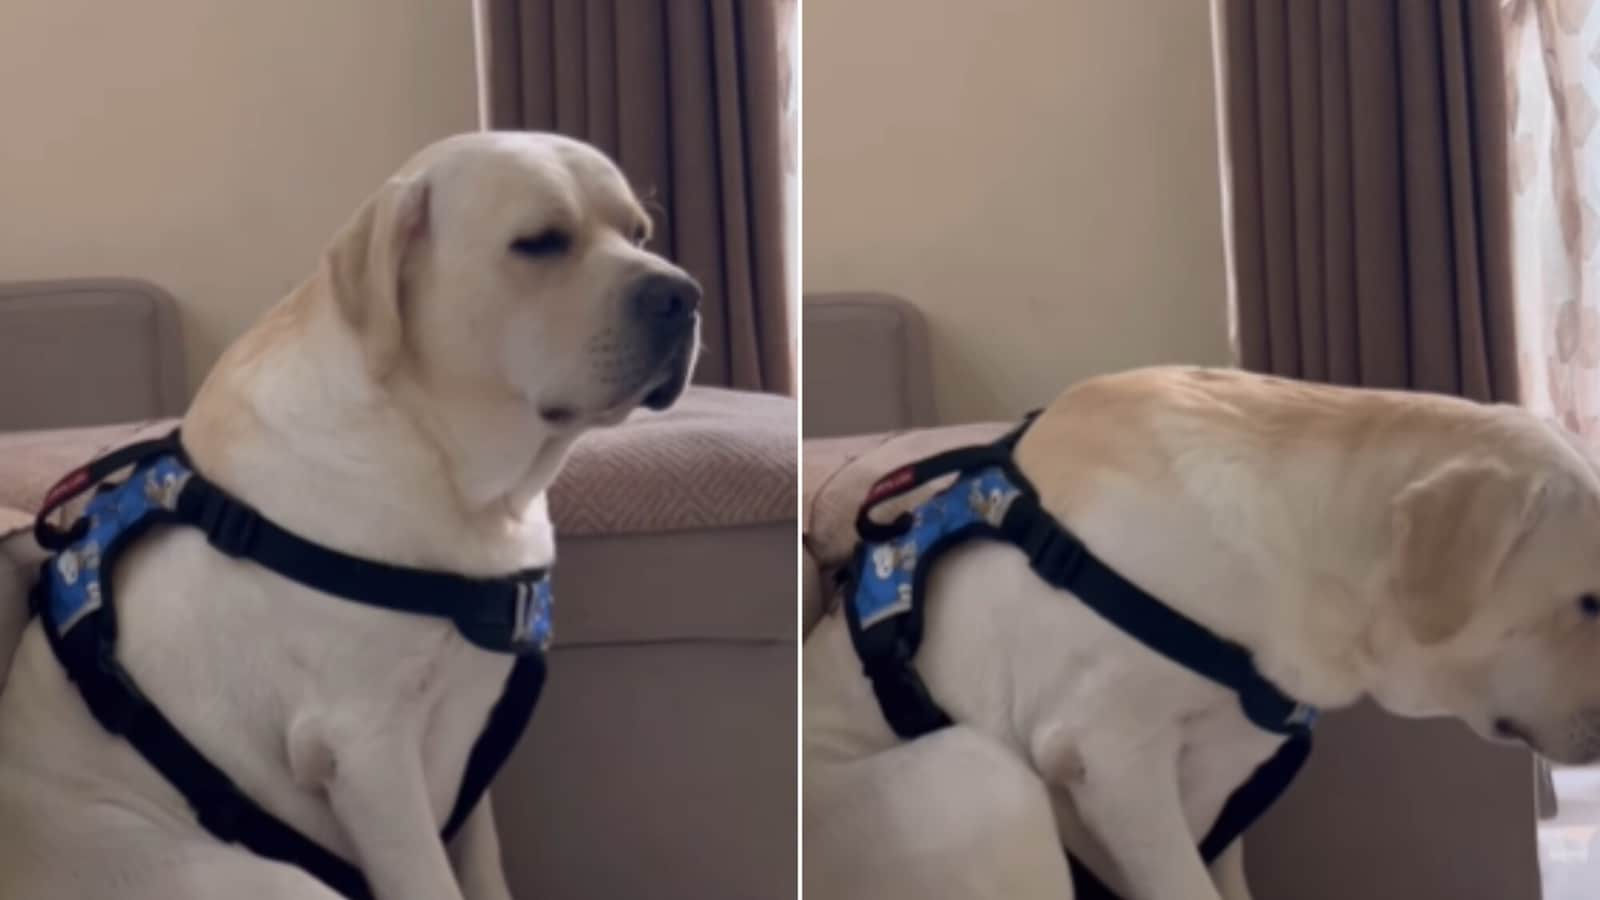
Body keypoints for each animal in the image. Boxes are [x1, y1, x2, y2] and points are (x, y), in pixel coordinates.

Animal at [0, 131, 694, 896]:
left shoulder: (467, 751)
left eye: (640, 233)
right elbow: (429, 881)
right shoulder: (366, 750)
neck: (447, 465)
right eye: (539, 241)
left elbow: (483, 873)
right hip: (273, 879)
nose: (682, 294)